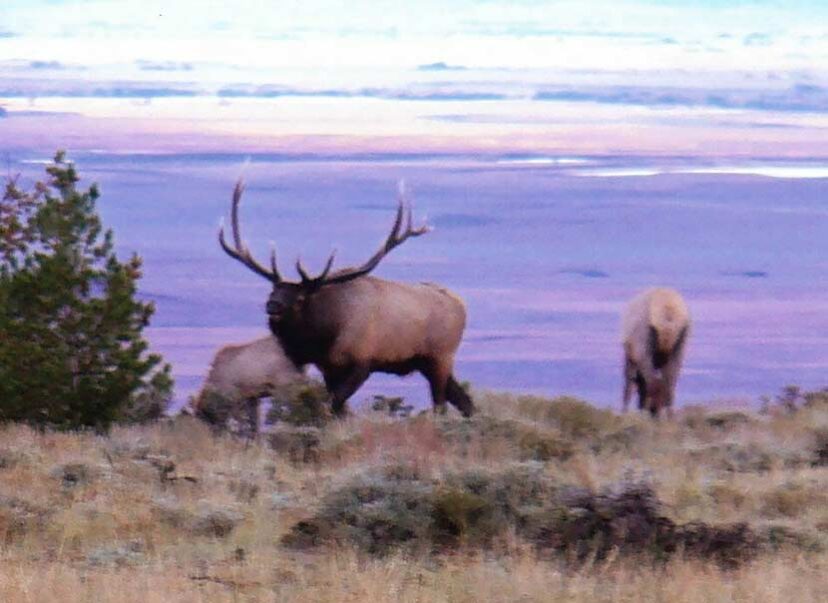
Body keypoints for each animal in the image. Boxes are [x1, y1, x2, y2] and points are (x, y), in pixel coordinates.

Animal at [217, 179, 476, 418]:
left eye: (300, 298)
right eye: (272, 291)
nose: (273, 305)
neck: (326, 333)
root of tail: (461, 304)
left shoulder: (363, 362)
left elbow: (334, 406)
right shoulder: (328, 368)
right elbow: (338, 409)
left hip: (441, 357)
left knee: (441, 405)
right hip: (426, 363)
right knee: (466, 402)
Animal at [624, 288, 688, 420]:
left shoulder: (630, 357)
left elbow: (629, 388)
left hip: (645, 355)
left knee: (650, 383)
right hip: (677, 353)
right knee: (669, 386)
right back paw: (668, 418)